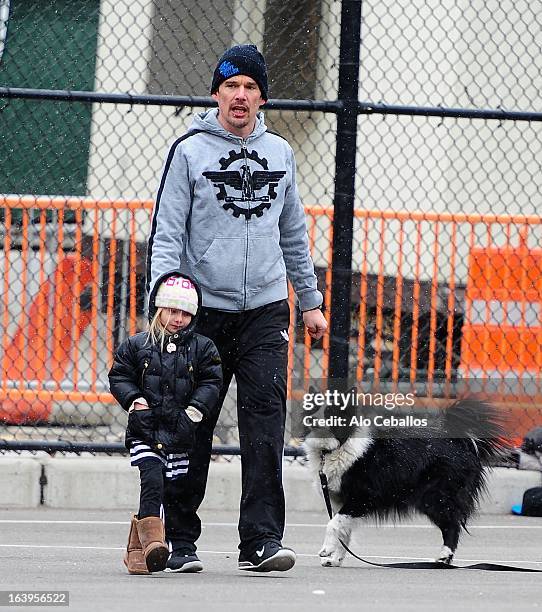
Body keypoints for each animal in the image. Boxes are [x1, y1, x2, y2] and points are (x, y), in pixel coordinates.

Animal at [306, 400, 510, 568]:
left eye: (331, 411)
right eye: (312, 407)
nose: (312, 419)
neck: (334, 448)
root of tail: (459, 441)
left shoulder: (362, 497)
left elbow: (334, 523)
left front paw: (326, 550)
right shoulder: (340, 500)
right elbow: (343, 531)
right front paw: (335, 559)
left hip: (435, 497)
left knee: (452, 525)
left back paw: (444, 558)